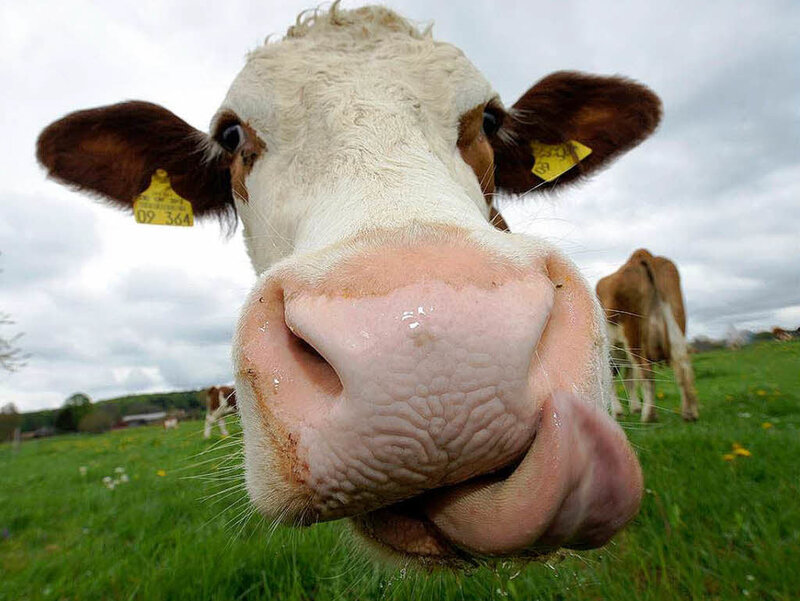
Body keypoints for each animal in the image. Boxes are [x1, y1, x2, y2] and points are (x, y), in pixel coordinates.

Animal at [596, 249, 700, 423]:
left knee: (646, 372)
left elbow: (613, 381)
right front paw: (633, 408)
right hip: (676, 323)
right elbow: (628, 379)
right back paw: (689, 413)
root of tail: (641, 255)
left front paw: (618, 412)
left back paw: (648, 415)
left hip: (633, 335)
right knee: (682, 366)